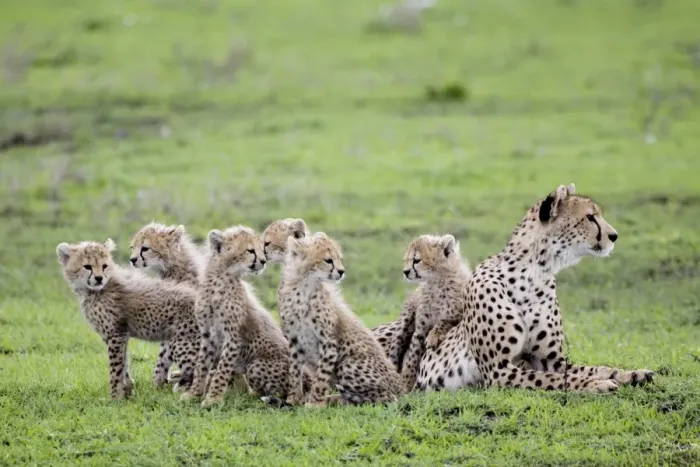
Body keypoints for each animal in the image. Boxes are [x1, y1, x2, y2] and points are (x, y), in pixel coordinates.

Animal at [56, 239, 200, 399]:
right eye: (87, 266)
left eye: (104, 266)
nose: (99, 278)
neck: (93, 291)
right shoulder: (116, 335)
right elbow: (124, 364)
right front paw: (127, 390)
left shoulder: (116, 334)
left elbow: (115, 368)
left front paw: (114, 397)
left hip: (183, 342)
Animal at [180, 225, 294, 408]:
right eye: (250, 250)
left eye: (262, 249)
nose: (263, 261)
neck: (220, 279)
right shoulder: (208, 335)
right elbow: (201, 365)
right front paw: (193, 394)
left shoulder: (233, 338)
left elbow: (222, 370)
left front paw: (212, 399)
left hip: (256, 365)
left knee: (276, 393)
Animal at [276, 232, 403, 407]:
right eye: (328, 260)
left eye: (339, 259)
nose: (342, 271)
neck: (302, 288)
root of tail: (401, 386)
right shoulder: (295, 341)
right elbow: (294, 372)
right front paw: (293, 400)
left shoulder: (328, 342)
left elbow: (321, 377)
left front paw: (315, 404)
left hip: (348, 364)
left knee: (386, 398)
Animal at [397, 234, 472, 391]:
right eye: (406, 260)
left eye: (416, 260)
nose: (405, 272)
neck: (436, 282)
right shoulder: (420, 328)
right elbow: (412, 356)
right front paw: (406, 380)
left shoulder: (459, 314)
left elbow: (445, 320)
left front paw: (434, 336)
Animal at [416, 183, 654, 393]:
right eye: (590, 217)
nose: (614, 236)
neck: (535, 272)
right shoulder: (499, 370)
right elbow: (557, 379)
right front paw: (597, 384)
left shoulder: (551, 360)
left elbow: (594, 369)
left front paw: (632, 374)